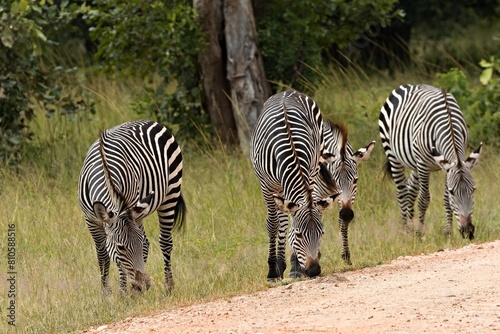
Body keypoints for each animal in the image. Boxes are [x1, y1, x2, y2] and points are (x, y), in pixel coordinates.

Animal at [77, 120, 187, 294]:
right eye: (121, 248)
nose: (145, 285)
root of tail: (147, 121)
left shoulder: (130, 208)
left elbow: (123, 264)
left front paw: (123, 292)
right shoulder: (91, 220)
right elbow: (103, 255)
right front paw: (106, 294)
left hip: (171, 192)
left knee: (165, 241)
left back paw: (167, 287)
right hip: (140, 212)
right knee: (149, 243)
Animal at [250, 90, 340, 280]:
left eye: (321, 233)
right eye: (298, 235)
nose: (314, 271)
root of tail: (288, 91)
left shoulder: (310, 174)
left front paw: (296, 268)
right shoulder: (266, 186)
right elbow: (273, 224)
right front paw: (272, 271)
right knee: (281, 221)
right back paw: (278, 265)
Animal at [322, 120, 374, 264]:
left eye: (355, 180)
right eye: (334, 180)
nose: (346, 214)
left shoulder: (346, 200)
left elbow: (342, 223)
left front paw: (346, 256)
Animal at [380, 85, 482, 239]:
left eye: (473, 189)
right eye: (453, 192)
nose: (467, 231)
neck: (449, 121)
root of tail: (407, 85)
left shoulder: (447, 166)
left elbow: (445, 200)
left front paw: (448, 233)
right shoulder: (423, 163)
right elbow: (424, 199)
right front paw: (420, 233)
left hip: (414, 163)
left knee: (410, 189)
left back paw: (410, 227)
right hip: (393, 155)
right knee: (401, 192)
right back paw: (405, 231)